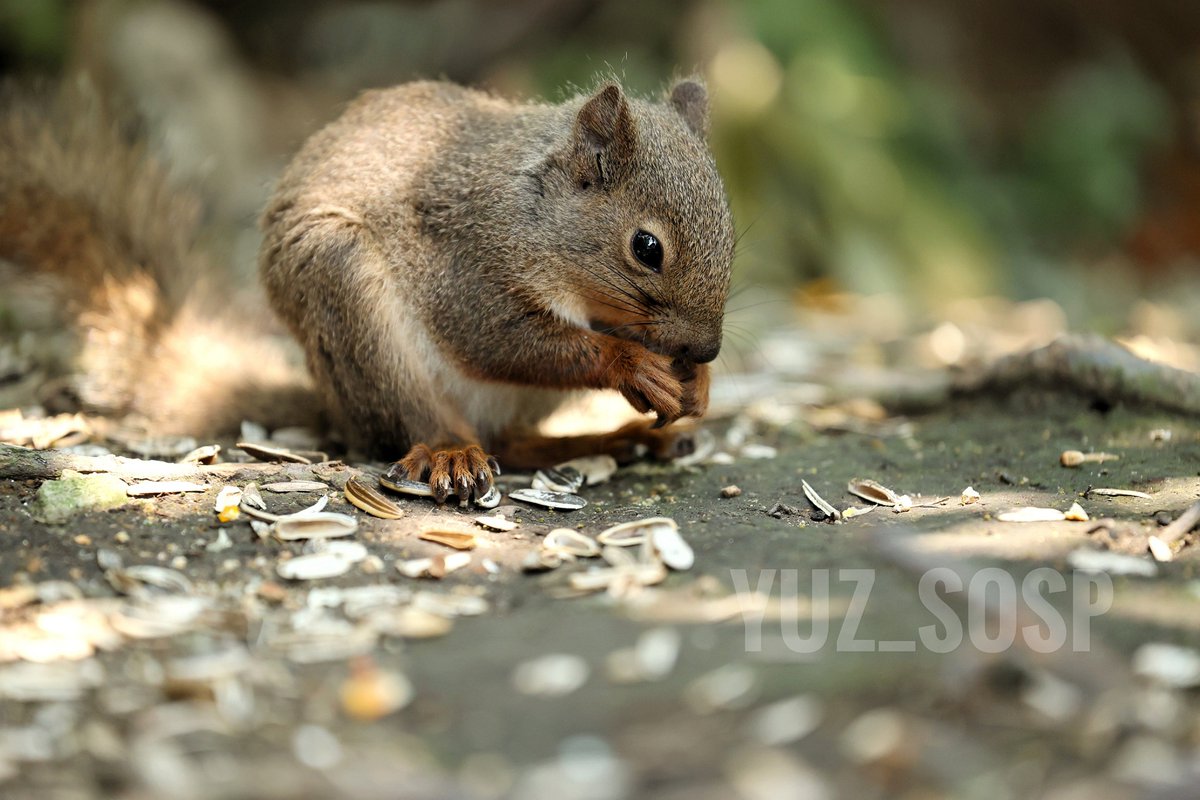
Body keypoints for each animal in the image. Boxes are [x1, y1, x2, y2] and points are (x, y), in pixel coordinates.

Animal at [1, 78, 734, 502]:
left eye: (730, 228)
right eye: (646, 248)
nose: (707, 350)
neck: (538, 215)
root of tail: (335, 406)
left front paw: (695, 388)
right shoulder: (466, 267)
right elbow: (499, 341)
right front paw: (633, 365)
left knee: (513, 444)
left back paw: (610, 441)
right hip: (350, 302)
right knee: (425, 427)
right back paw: (450, 453)